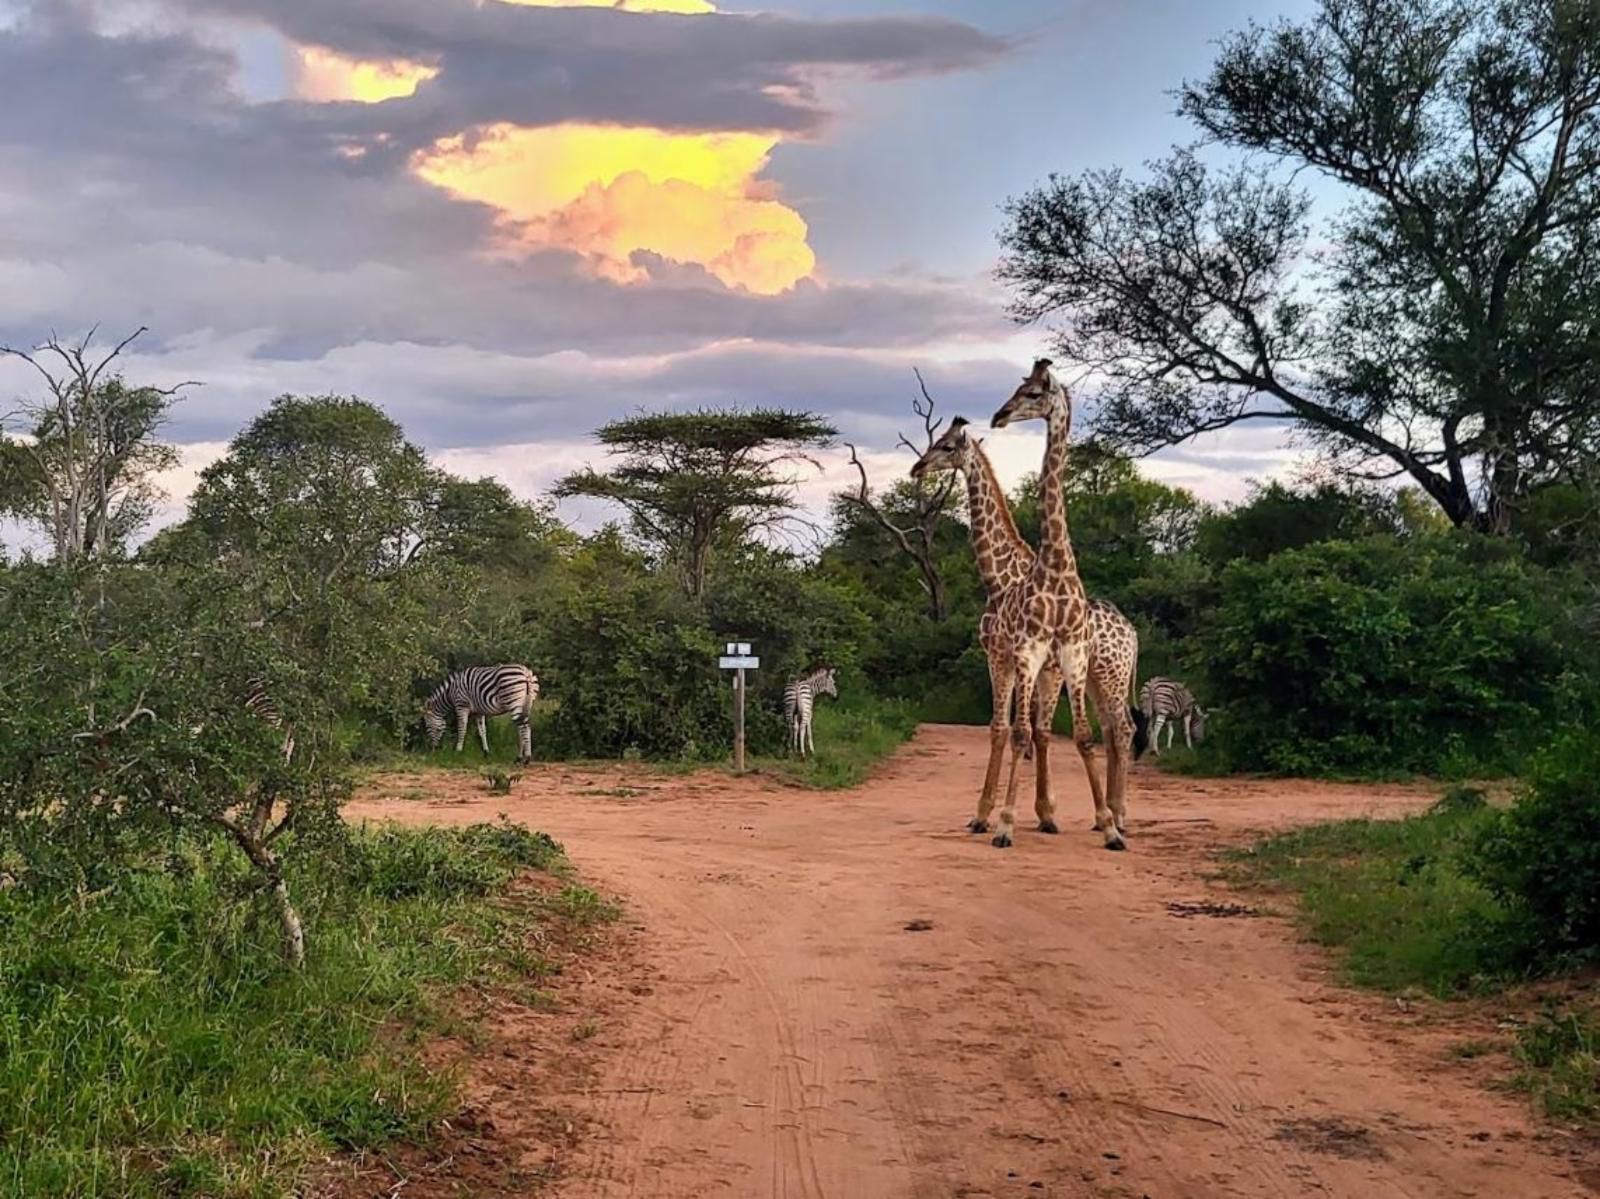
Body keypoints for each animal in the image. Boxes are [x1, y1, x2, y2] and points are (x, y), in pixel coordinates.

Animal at [908, 416, 1145, 838]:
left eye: (947, 446)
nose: (916, 468)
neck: (999, 578)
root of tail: (1132, 633)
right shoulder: (1030, 664)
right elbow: (1033, 730)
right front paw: (1042, 812)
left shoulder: (1002, 657)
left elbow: (1008, 728)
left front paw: (990, 814)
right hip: (1096, 679)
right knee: (1113, 731)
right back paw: (1107, 817)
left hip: (1111, 676)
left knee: (1124, 729)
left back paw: (1118, 815)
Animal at [985, 360, 1139, 845]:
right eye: (1019, 388)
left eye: (1034, 393)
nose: (998, 416)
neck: (1054, 567)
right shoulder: (1030, 651)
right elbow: (1023, 733)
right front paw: (1007, 823)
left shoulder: (1072, 653)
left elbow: (1083, 737)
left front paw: (1109, 829)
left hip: (1102, 675)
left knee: (1116, 729)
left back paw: (1116, 815)